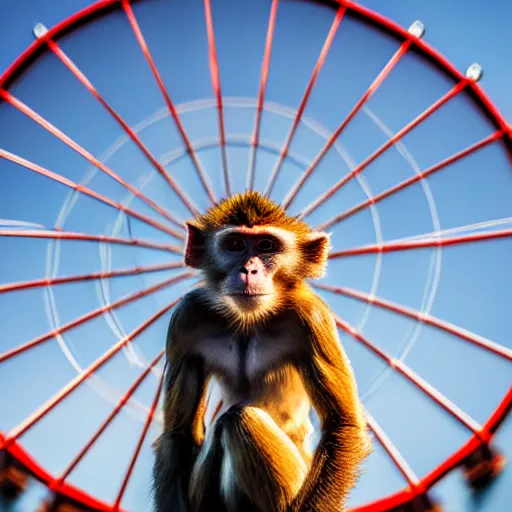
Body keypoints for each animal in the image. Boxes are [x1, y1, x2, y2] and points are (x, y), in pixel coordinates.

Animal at [152, 191, 372, 512]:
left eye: (266, 245)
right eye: (234, 244)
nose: (248, 269)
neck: (249, 319)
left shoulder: (312, 317)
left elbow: (342, 425)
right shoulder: (188, 317)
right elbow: (177, 434)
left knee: (238, 419)